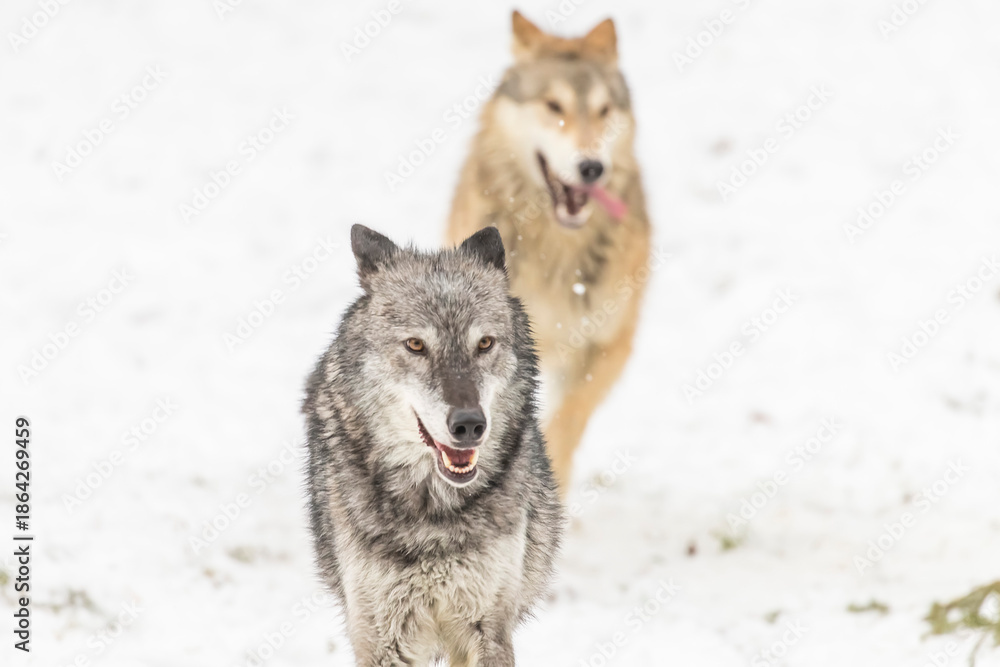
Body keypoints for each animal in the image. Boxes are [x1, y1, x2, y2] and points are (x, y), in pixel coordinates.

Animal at [303, 224, 563, 666]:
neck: (434, 515)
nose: (470, 425)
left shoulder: (487, 625)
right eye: (416, 345)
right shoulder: (383, 637)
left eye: (484, 344)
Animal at [446, 11, 653, 492]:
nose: (592, 167)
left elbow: (568, 422)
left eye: (603, 111)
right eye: (554, 106)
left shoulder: (609, 344)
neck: (558, 248)